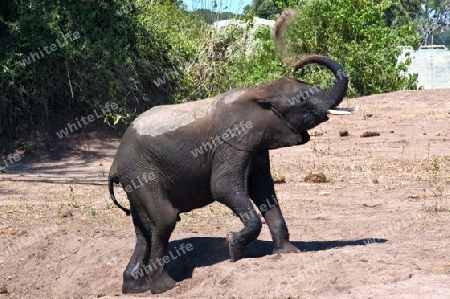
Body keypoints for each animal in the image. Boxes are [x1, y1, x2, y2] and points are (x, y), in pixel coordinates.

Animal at [108, 55, 348, 294]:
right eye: (301, 99)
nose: (297, 64)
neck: (260, 91)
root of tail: (115, 163)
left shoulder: (256, 143)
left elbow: (264, 191)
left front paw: (288, 252)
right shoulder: (229, 144)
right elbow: (223, 188)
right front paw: (233, 247)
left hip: (134, 179)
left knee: (143, 232)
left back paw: (134, 288)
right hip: (142, 173)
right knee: (164, 220)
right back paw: (165, 287)